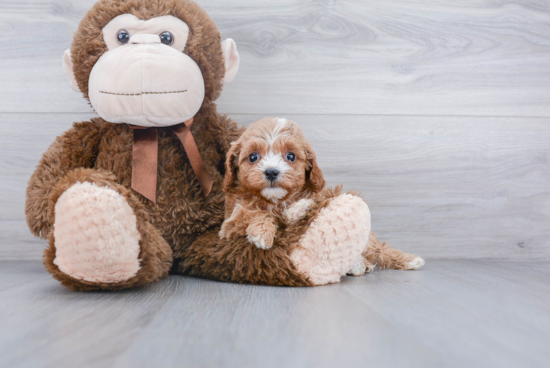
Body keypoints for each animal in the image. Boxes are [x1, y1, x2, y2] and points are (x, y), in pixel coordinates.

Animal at [220, 116, 426, 274]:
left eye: (291, 156)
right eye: (253, 157)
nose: (271, 172)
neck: (276, 200)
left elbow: (310, 203)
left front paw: (298, 208)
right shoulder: (228, 225)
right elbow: (252, 212)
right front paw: (262, 233)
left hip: (371, 243)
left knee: (377, 248)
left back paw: (407, 260)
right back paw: (359, 265)